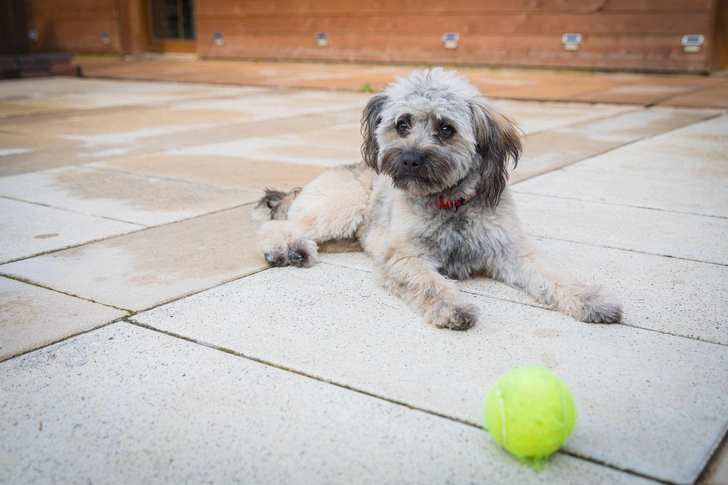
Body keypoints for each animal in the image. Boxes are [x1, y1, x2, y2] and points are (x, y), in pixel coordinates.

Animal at [253, 68, 624, 328]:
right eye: (402, 124)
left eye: (447, 129)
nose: (410, 160)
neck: (451, 203)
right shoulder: (405, 256)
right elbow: (430, 283)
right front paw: (453, 307)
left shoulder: (512, 250)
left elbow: (554, 276)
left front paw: (591, 299)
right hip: (343, 206)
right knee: (281, 226)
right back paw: (284, 250)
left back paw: (300, 251)